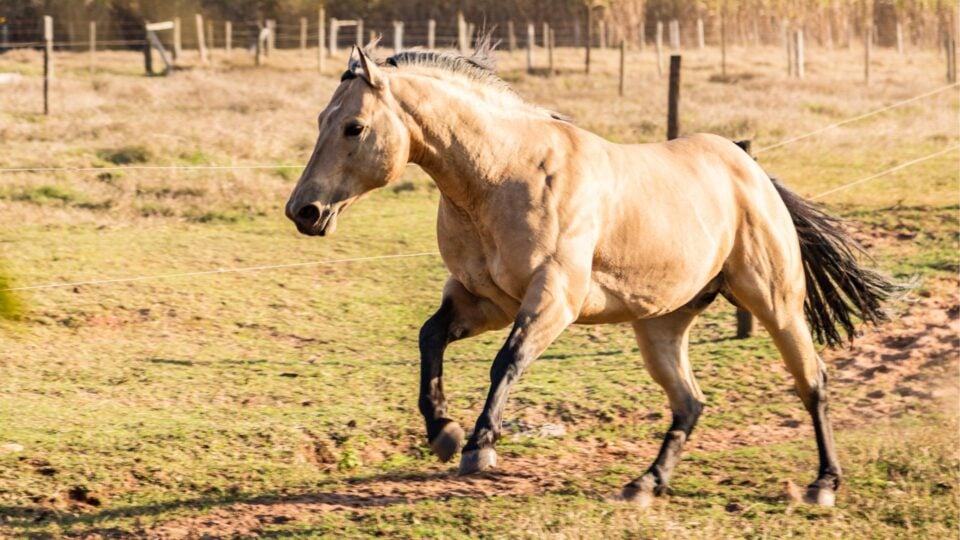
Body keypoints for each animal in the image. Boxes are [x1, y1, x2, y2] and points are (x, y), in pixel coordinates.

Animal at [284, 41, 896, 507]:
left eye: (354, 127)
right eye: (320, 121)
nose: (303, 211)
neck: (500, 175)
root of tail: (750, 170)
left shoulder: (554, 298)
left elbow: (507, 360)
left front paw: (479, 446)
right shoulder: (484, 300)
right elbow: (429, 338)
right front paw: (444, 433)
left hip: (774, 302)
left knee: (812, 382)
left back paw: (822, 485)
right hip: (661, 325)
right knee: (690, 402)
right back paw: (645, 484)